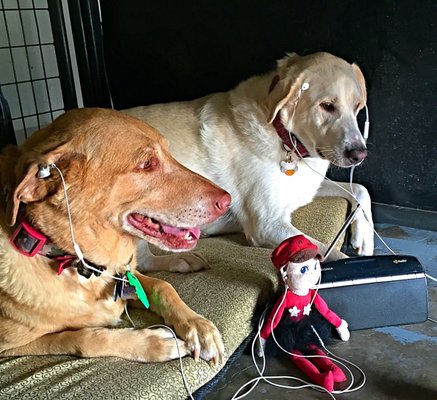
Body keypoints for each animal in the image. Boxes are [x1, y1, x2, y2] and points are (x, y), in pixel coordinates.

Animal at [0, 108, 230, 364]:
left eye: (169, 152)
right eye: (146, 164)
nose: (227, 201)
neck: (83, 266)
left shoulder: (127, 277)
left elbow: (163, 285)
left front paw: (198, 326)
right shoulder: (10, 349)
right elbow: (81, 338)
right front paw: (156, 343)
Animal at [124, 50, 372, 262]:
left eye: (358, 106)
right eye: (327, 106)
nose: (359, 155)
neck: (283, 136)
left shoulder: (306, 187)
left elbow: (360, 189)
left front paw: (365, 238)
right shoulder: (267, 225)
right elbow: (330, 253)